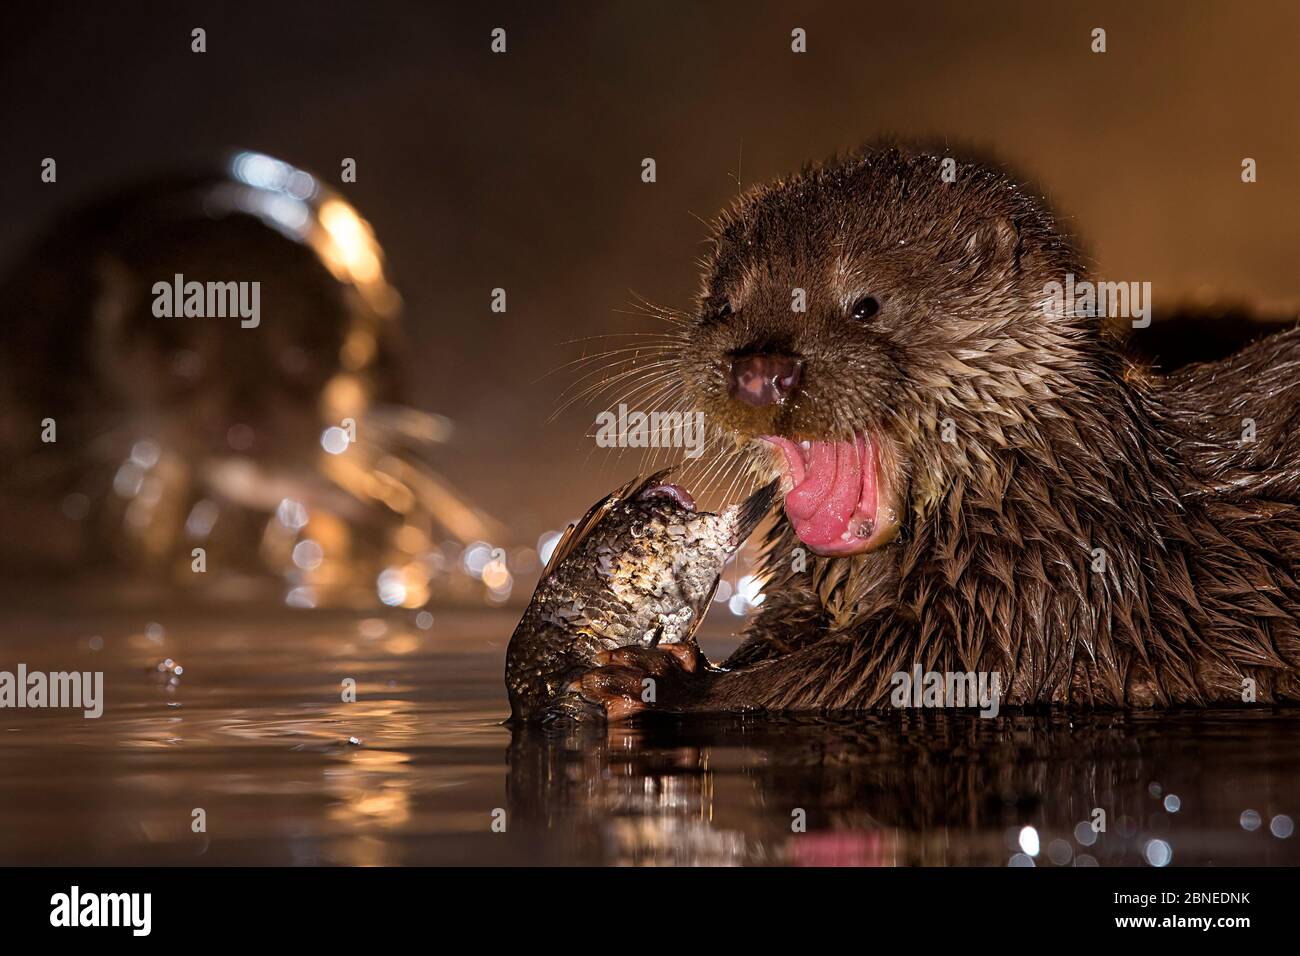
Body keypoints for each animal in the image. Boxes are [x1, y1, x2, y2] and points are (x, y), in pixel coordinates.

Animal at [577, 145, 1300, 712]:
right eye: (724, 305)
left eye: (866, 305)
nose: (760, 369)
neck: (1046, 494)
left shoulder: (1044, 592)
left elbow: (905, 673)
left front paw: (667, 683)